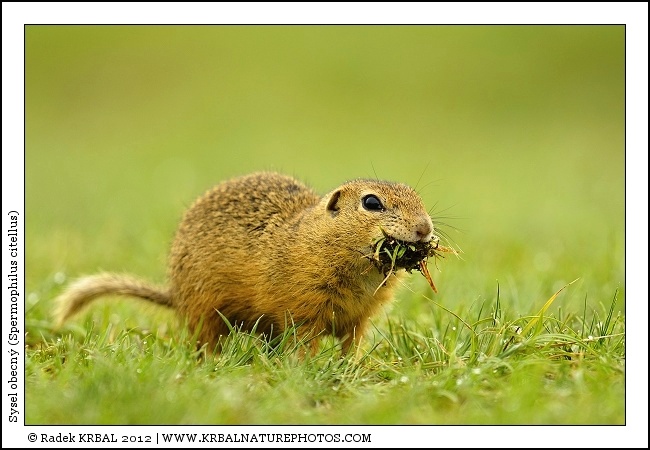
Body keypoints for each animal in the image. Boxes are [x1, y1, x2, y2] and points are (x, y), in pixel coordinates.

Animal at [54, 172, 438, 354]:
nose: (424, 228)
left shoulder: (360, 319)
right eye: (372, 203)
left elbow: (351, 348)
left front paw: (349, 372)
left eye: (418, 198)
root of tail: (174, 293)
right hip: (205, 312)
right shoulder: (304, 314)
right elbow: (305, 347)